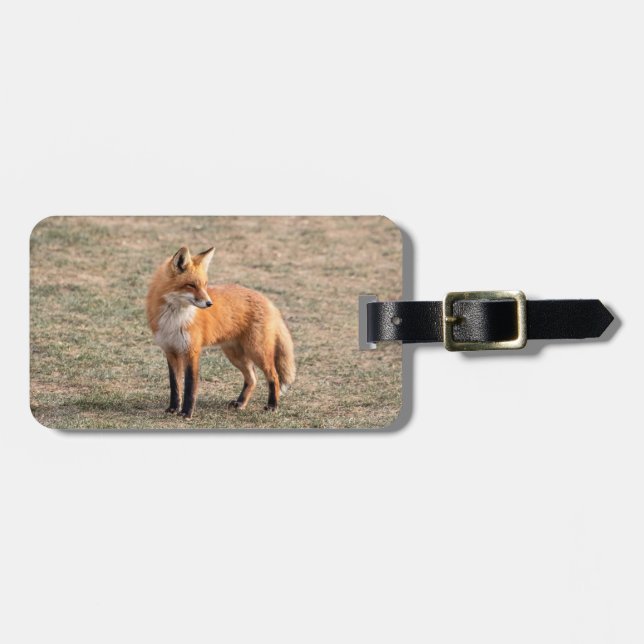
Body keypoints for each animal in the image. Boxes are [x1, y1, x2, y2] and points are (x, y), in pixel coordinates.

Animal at [146, 246, 296, 419]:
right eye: (191, 285)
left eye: (205, 285)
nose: (209, 303)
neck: (174, 318)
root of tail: (268, 301)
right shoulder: (170, 351)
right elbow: (175, 385)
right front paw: (173, 408)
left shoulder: (192, 351)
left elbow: (190, 385)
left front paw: (186, 413)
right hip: (235, 355)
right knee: (252, 379)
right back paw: (241, 403)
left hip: (257, 351)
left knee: (274, 376)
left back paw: (272, 405)